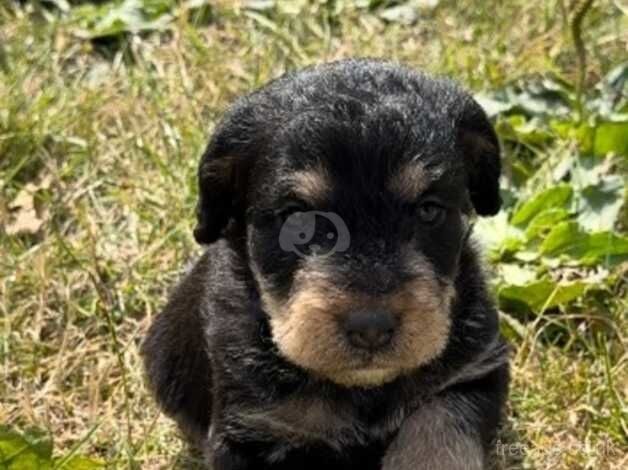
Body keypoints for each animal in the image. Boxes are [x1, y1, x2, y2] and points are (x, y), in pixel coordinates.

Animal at [142, 59, 510, 470]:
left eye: (429, 210)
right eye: (298, 221)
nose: (371, 328)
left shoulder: (471, 374)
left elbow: (436, 437)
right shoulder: (249, 431)